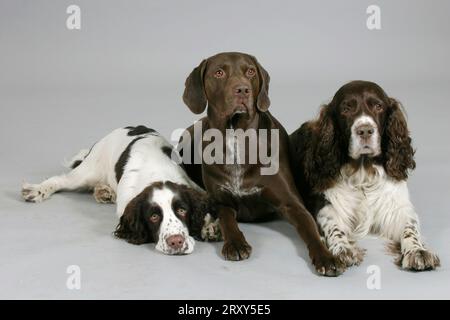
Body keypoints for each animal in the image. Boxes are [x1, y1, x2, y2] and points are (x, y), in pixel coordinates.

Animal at [22, 125, 222, 255]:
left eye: (182, 210)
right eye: (153, 216)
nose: (176, 242)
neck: (157, 172)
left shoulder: (192, 185)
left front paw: (210, 227)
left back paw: (104, 192)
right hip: (88, 171)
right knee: (59, 180)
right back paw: (36, 190)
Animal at [178, 52, 342, 276]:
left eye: (250, 72)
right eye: (219, 73)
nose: (242, 89)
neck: (236, 138)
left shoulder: (291, 203)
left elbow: (309, 228)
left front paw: (325, 256)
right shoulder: (222, 201)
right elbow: (227, 220)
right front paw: (235, 243)